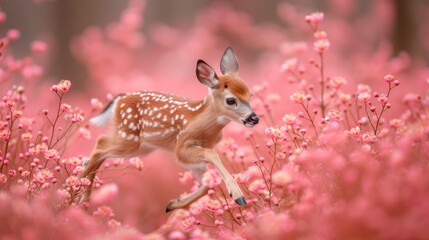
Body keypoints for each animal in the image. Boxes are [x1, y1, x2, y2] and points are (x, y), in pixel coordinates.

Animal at [78, 47, 260, 212]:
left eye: (250, 94)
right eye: (231, 100)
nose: (254, 118)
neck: (201, 124)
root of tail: (119, 99)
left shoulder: (193, 158)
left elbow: (206, 185)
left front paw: (173, 204)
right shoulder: (181, 147)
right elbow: (211, 155)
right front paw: (238, 196)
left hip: (140, 147)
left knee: (101, 149)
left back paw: (83, 197)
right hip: (129, 137)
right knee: (100, 145)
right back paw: (75, 185)